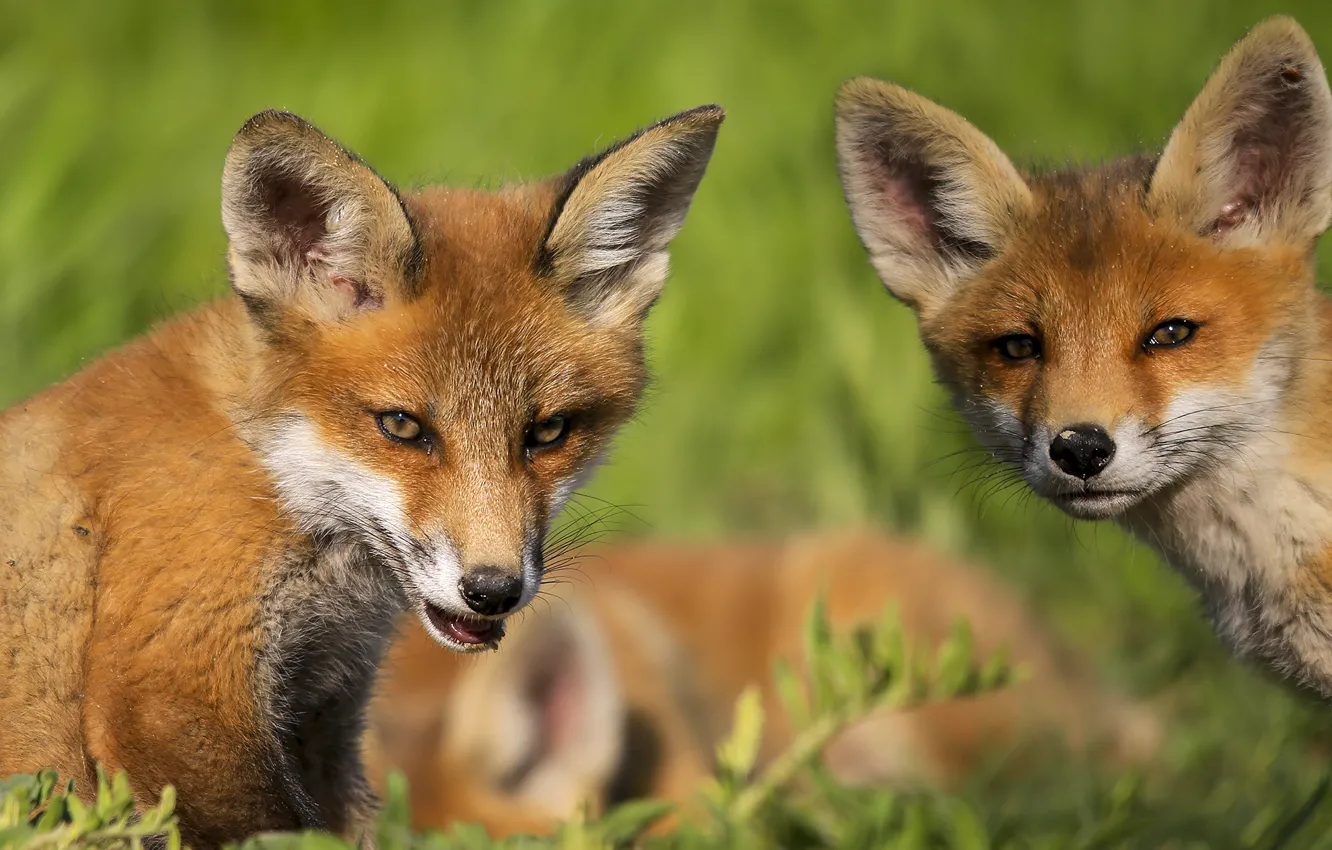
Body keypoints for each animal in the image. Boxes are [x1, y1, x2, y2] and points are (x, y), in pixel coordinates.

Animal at [0, 103, 723, 847]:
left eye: (548, 432)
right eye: (402, 426)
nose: (493, 590)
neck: (259, 466)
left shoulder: (323, 719)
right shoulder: (171, 692)